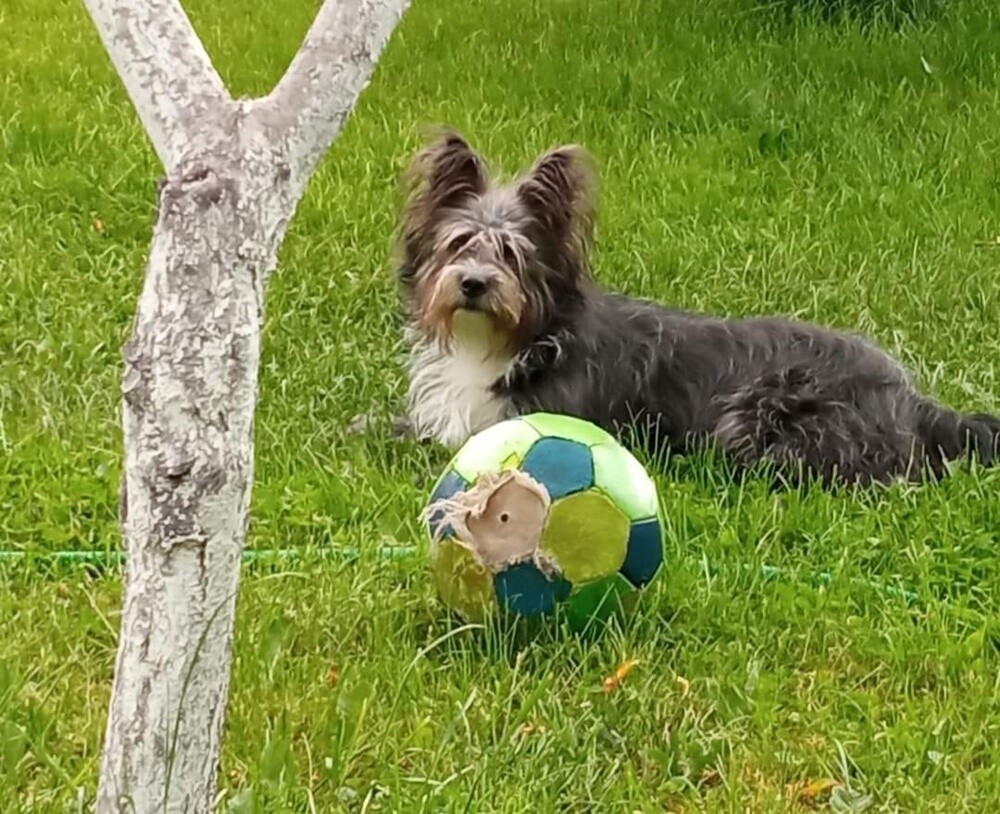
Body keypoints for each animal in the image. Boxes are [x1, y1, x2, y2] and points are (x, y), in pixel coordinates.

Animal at [394, 130, 1000, 486]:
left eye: (512, 253)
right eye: (458, 244)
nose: (473, 284)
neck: (509, 340)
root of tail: (912, 399)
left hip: (757, 419)